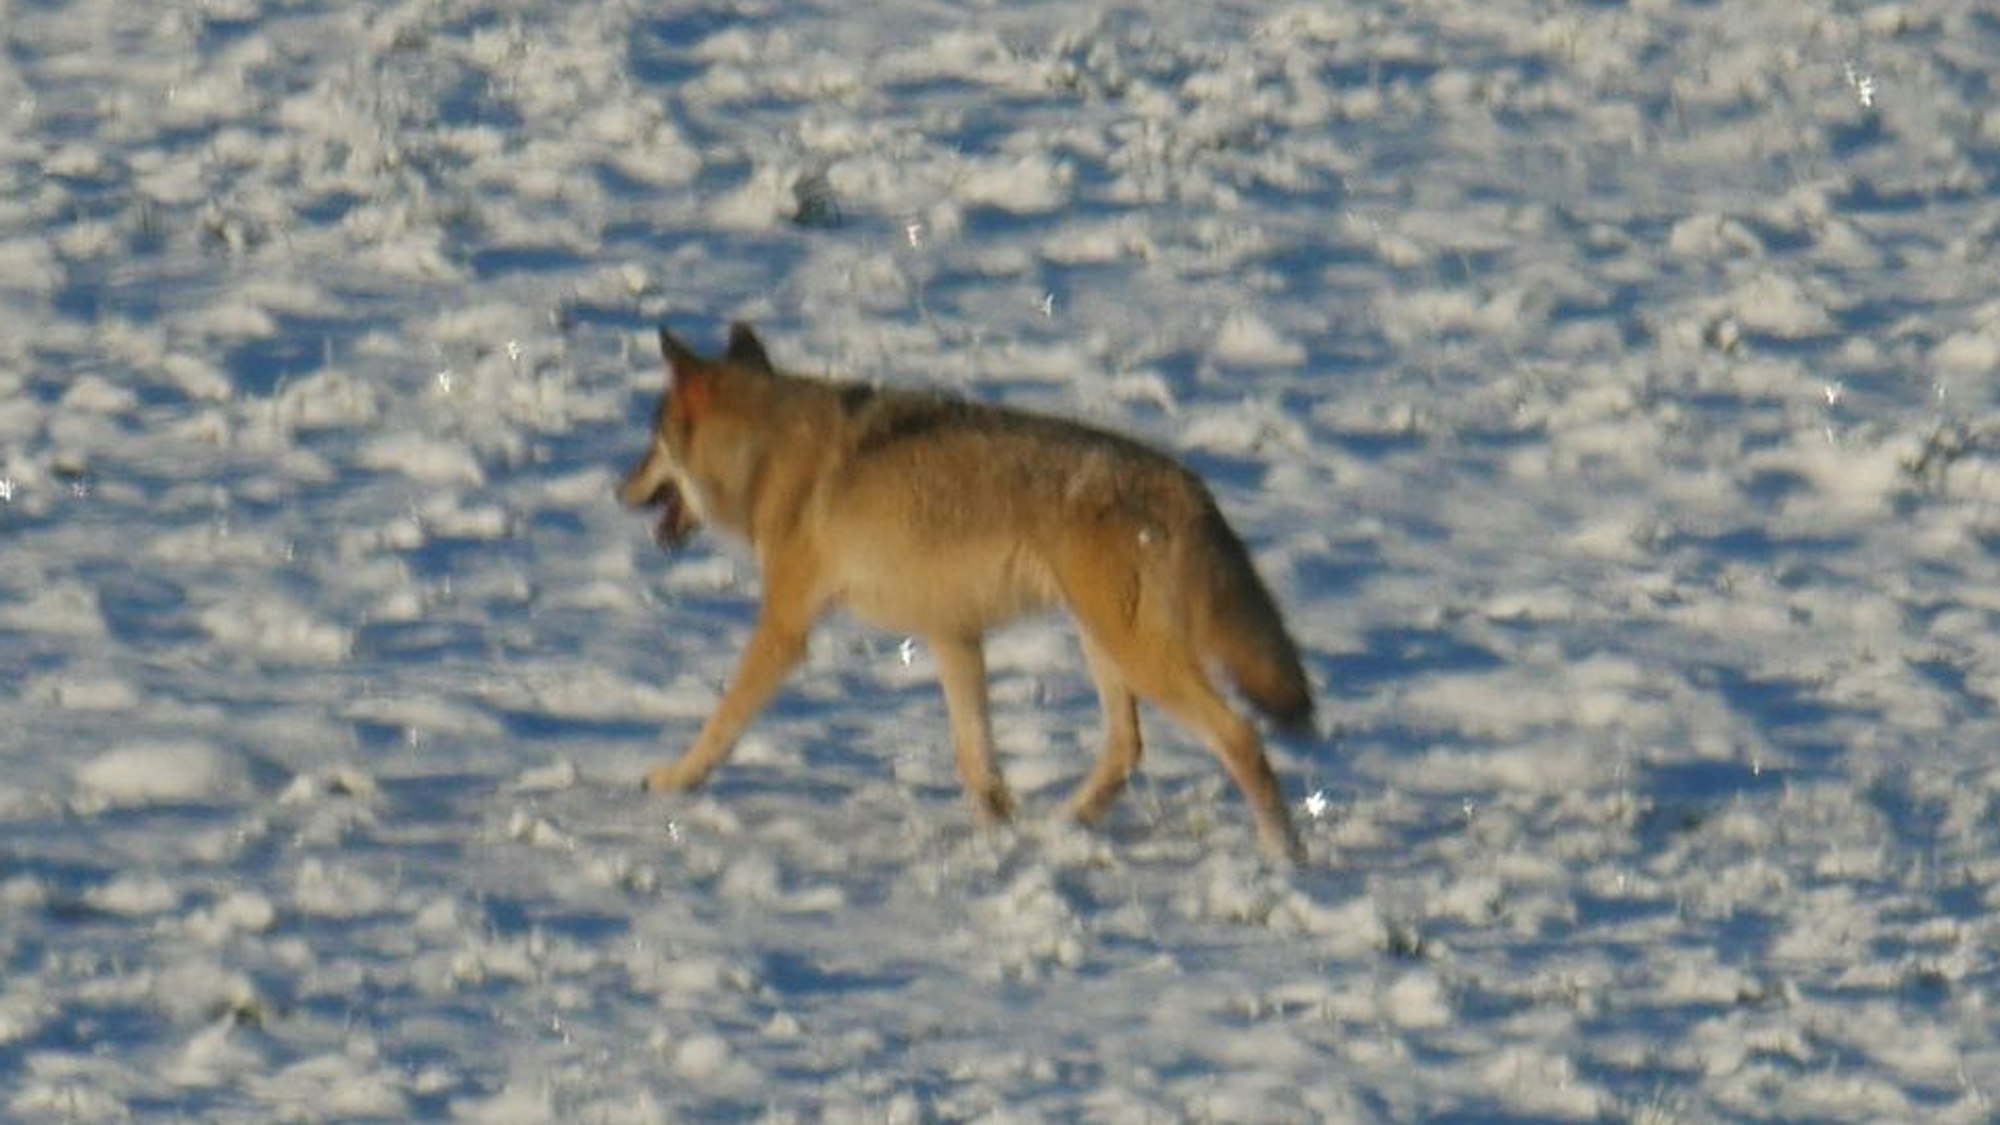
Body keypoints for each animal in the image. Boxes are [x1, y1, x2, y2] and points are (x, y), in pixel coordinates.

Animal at [619, 323, 1314, 861]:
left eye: (650, 442)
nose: (618, 489)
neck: (766, 453)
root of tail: (1192, 487)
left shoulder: (785, 629)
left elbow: (723, 721)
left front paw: (674, 779)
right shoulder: (952, 634)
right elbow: (976, 760)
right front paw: (999, 836)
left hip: (1136, 655)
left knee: (1238, 738)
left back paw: (1284, 857)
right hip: (1105, 647)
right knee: (1128, 747)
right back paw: (1066, 826)